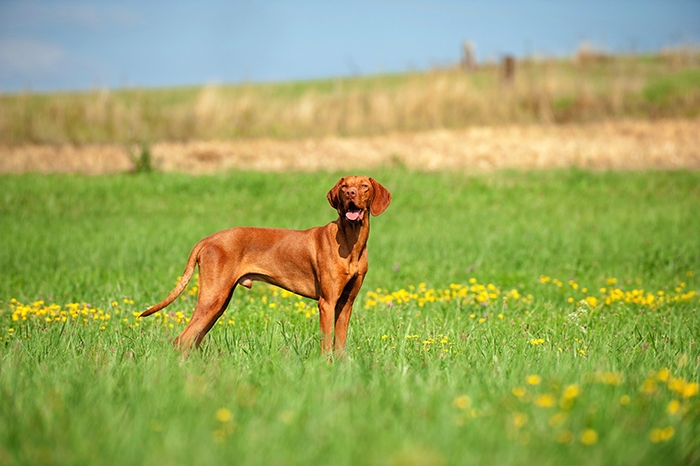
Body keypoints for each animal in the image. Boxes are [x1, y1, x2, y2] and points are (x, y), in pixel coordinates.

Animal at [139, 176, 392, 356]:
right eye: (344, 186)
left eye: (364, 186)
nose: (350, 193)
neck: (351, 243)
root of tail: (207, 240)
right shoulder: (327, 303)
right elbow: (326, 344)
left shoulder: (346, 303)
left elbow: (340, 344)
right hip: (213, 299)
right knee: (181, 340)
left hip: (218, 304)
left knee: (192, 340)